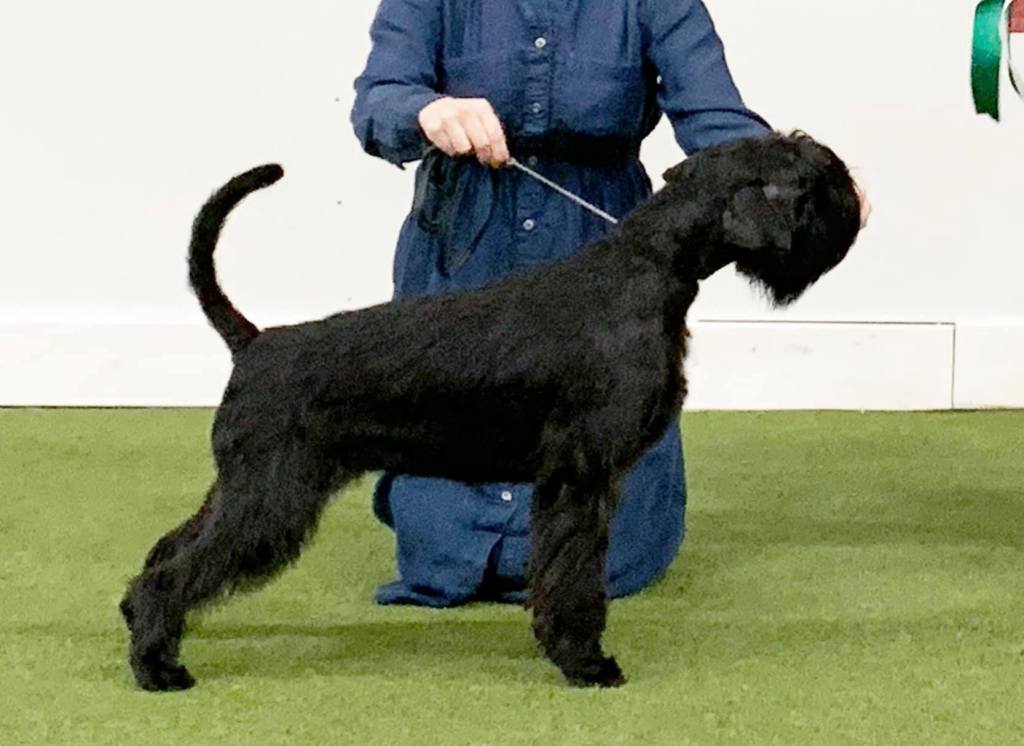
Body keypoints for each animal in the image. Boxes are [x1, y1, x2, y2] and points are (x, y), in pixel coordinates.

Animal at [120, 132, 861, 691]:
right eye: (813, 178)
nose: (855, 203)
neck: (651, 266)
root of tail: (254, 341)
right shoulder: (580, 475)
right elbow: (574, 574)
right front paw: (585, 662)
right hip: (271, 495)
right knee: (176, 571)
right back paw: (160, 668)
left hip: (245, 486)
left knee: (170, 549)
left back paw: (143, 631)